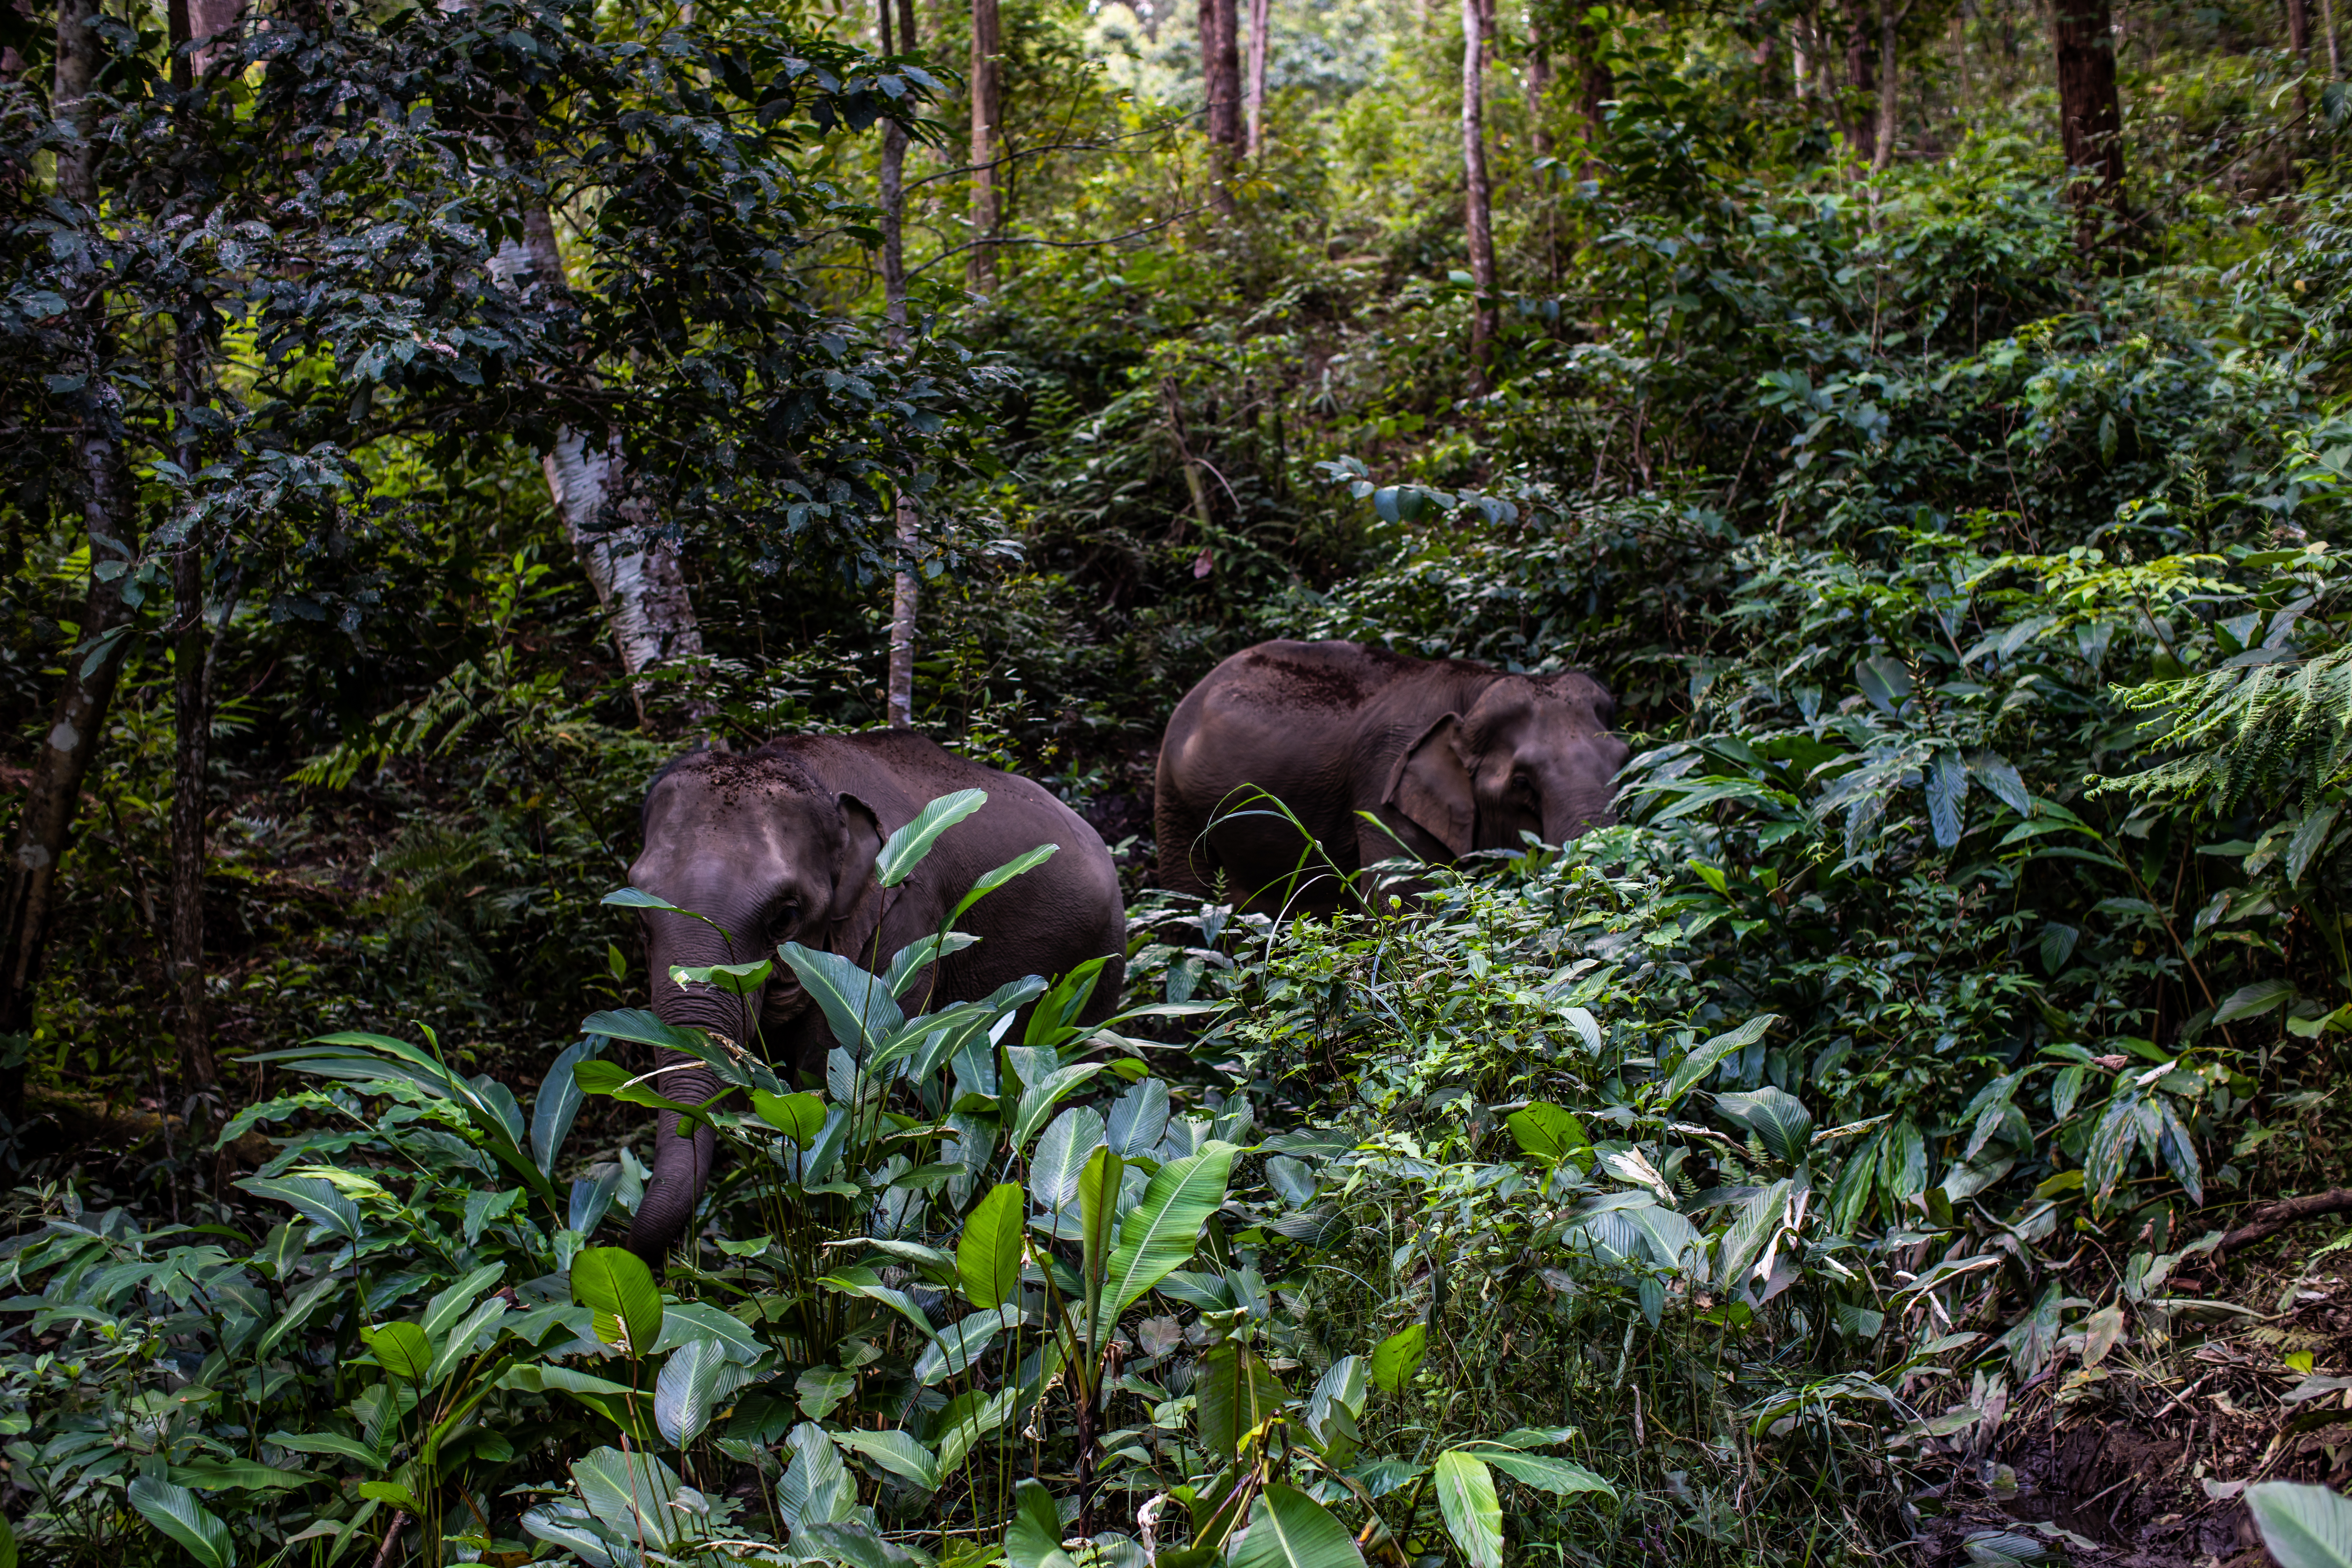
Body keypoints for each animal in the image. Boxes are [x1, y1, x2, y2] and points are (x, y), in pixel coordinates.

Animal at [607, 733, 1119, 1260]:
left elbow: (835, 1070)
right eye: (640, 915)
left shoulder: (905, 920)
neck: (808, 772)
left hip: (1094, 971)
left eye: (785, 918)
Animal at [1148, 635, 1628, 912]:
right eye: (1522, 783)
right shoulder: (1384, 788)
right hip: (1174, 799)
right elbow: (1405, 905)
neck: (1476, 689)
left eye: (1624, 762)